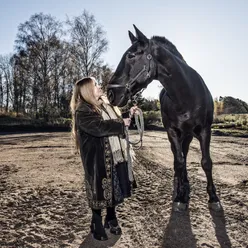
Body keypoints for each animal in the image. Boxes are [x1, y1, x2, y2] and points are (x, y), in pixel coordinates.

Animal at [107, 24, 222, 211]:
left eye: (131, 55)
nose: (110, 93)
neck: (186, 94)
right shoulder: (172, 132)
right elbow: (179, 162)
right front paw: (180, 197)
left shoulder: (205, 131)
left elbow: (206, 162)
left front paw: (213, 197)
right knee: (179, 157)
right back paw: (180, 183)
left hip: (188, 135)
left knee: (185, 154)